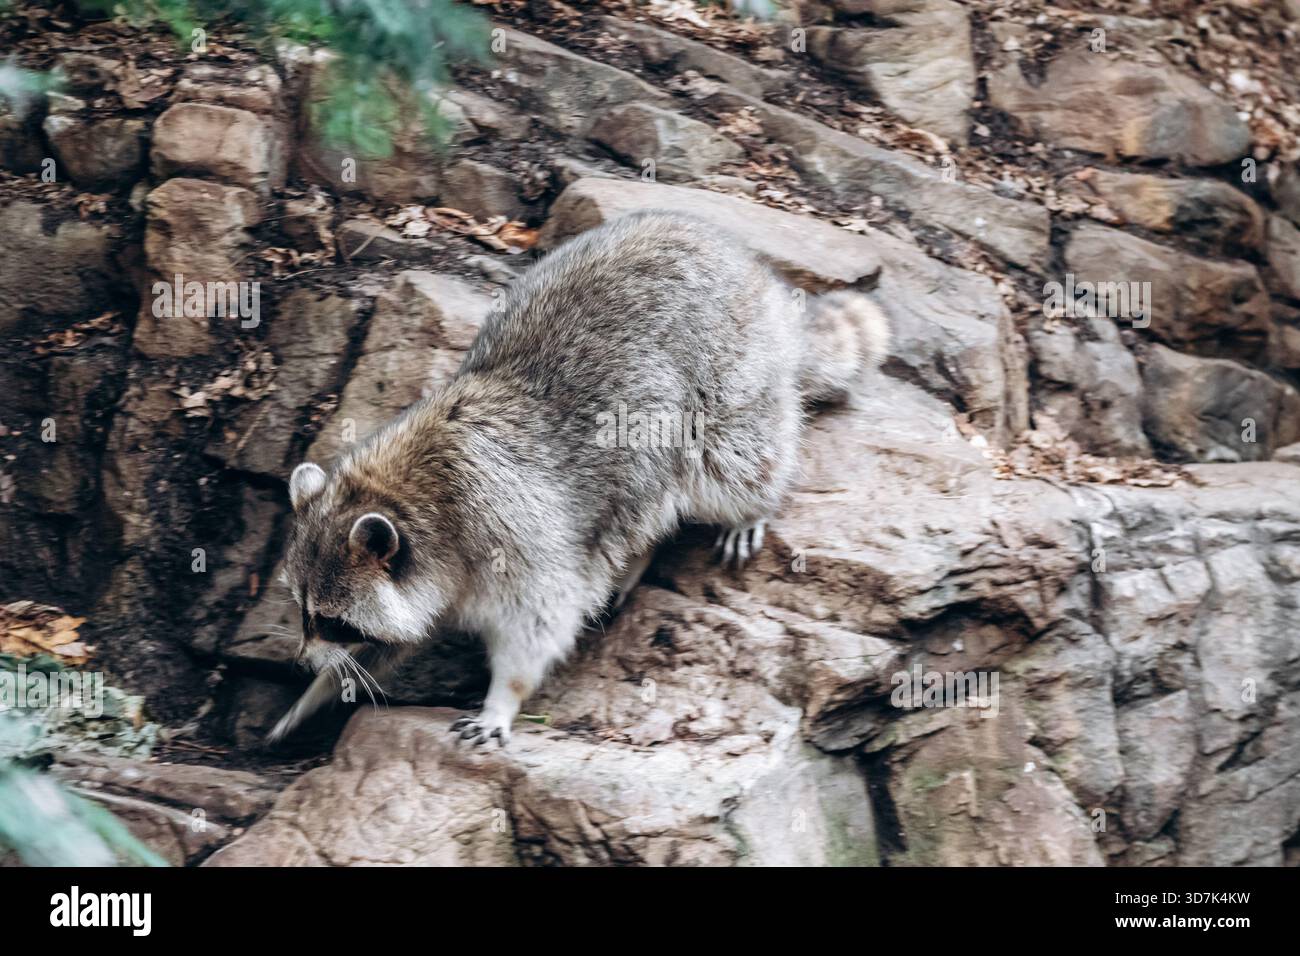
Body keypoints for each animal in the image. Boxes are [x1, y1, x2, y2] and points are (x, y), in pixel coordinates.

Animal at [272, 210, 889, 746]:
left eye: (332, 620)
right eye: (303, 611)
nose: (299, 662)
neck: (402, 492)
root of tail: (759, 277)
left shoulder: (508, 532)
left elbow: (541, 622)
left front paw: (503, 698)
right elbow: (403, 638)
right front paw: (317, 692)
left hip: (726, 381)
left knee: (732, 466)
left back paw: (750, 505)